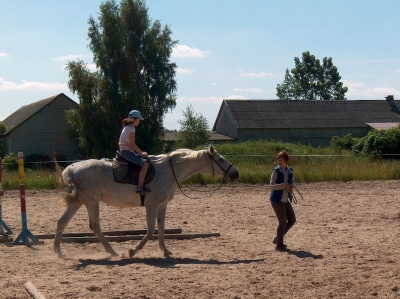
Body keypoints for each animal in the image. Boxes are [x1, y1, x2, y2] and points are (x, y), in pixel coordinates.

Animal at [54, 145, 239, 258]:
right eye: (220, 160)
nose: (236, 173)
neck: (168, 171)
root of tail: (71, 168)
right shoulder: (152, 206)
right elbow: (150, 231)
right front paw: (132, 251)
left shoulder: (162, 205)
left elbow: (161, 228)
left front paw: (165, 250)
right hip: (92, 202)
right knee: (95, 226)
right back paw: (112, 251)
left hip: (79, 202)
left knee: (62, 222)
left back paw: (58, 251)